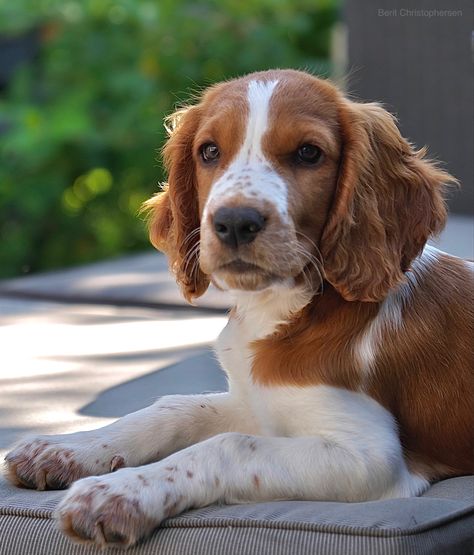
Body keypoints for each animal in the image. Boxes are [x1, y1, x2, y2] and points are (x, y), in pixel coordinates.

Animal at [4, 68, 474, 548]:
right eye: (210, 151)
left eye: (309, 153)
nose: (234, 222)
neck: (286, 309)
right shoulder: (258, 403)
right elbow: (174, 407)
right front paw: (69, 448)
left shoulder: (370, 457)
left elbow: (227, 445)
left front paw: (117, 493)